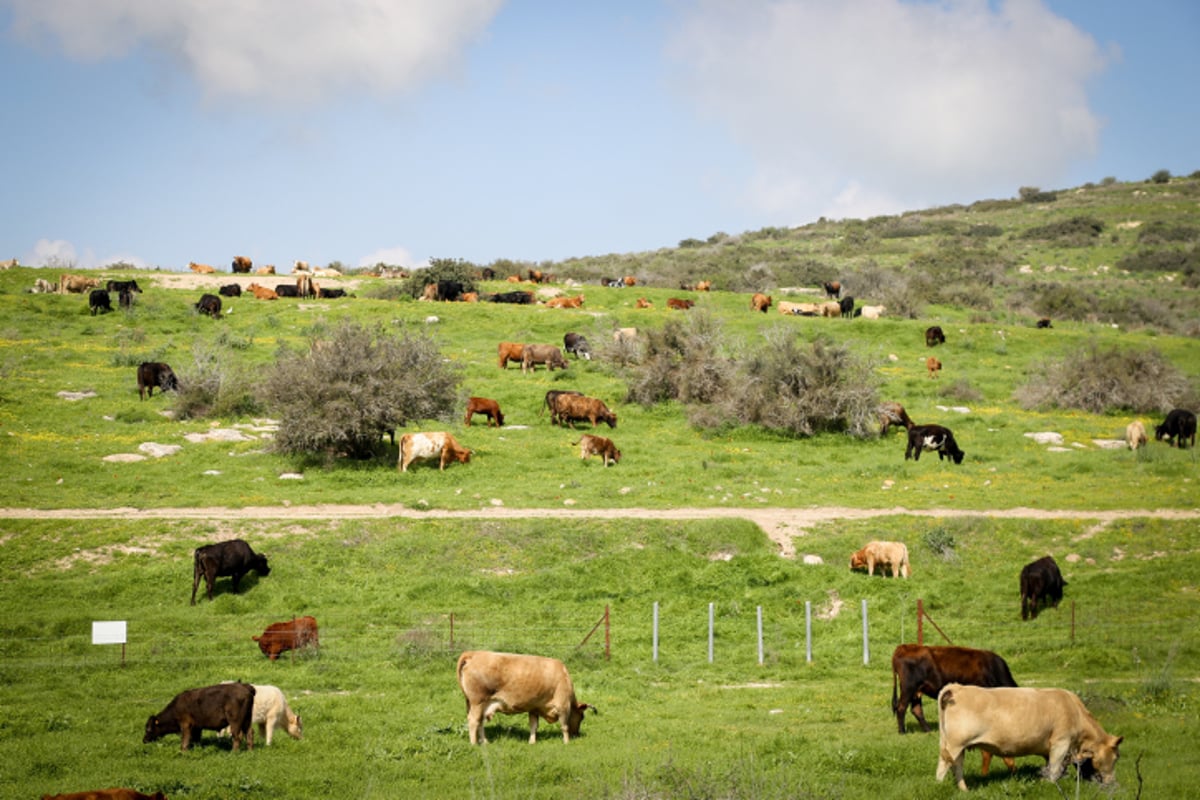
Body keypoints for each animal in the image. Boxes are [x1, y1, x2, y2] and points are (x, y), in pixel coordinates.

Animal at [456, 652, 592, 743]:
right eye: (582, 717)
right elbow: (564, 725)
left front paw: (532, 742)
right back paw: (474, 744)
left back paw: (485, 742)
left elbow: (533, 725)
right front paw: (566, 742)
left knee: (480, 722)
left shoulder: (534, 707)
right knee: (473, 721)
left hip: (478, 704)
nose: (577, 735)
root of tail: (473, 654)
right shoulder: (563, 705)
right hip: (478, 702)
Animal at [888, 642, 1017, 738]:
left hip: (916, 691)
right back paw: (902, 732)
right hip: (908, 688)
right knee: (901, 708)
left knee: (916, 709)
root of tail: (903, 647)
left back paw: (929, 730)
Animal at [931, 686, 1118, 791]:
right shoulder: (1061, 742)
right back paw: (939, 787)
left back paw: (964, 790)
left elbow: (1052, 766)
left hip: (954, 745)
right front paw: (1050, 785)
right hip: (955, 744)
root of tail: (957, 687)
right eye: (1116, 758)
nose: (1111, 783)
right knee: (943, 766)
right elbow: (1054, 767)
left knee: (957, 766)